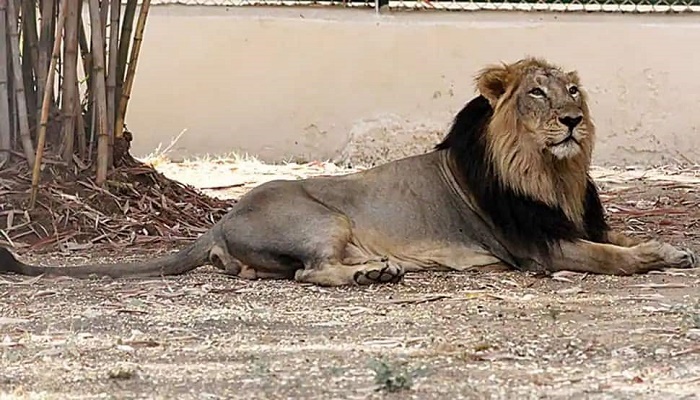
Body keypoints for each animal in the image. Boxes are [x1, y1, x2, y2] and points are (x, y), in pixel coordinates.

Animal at [1, 57, 697, 285]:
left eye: (574, 92)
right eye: (536, 94)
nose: (573, 121)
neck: (552, 173)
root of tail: (220, 220)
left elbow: (619, 236)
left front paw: (670, 248)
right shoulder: (540, 247)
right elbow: (612, 256)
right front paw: (654, 256)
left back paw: (377, 269)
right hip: (324, 219)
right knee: (308, 273)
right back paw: (369, 275)